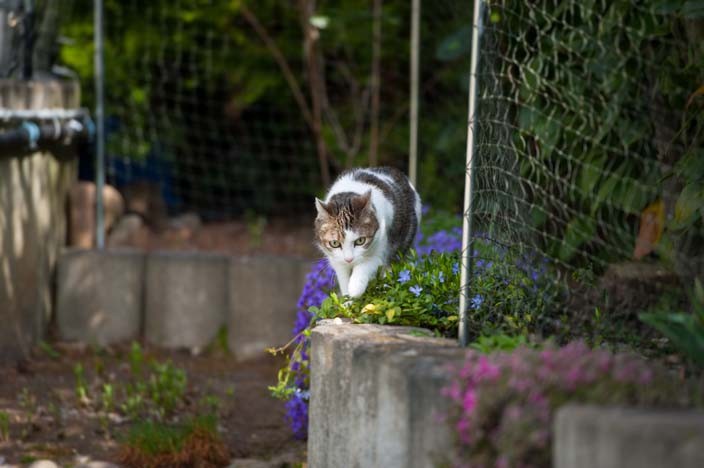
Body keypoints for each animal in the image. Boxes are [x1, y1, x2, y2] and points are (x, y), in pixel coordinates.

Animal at [314, 168, 424, 298]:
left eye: (360, 241)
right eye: (334, 243)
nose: (349, 259)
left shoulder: (381, 245)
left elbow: (366, 264)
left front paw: (355, 288)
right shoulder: (336, 259)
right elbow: (343, 278)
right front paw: (347, 299)